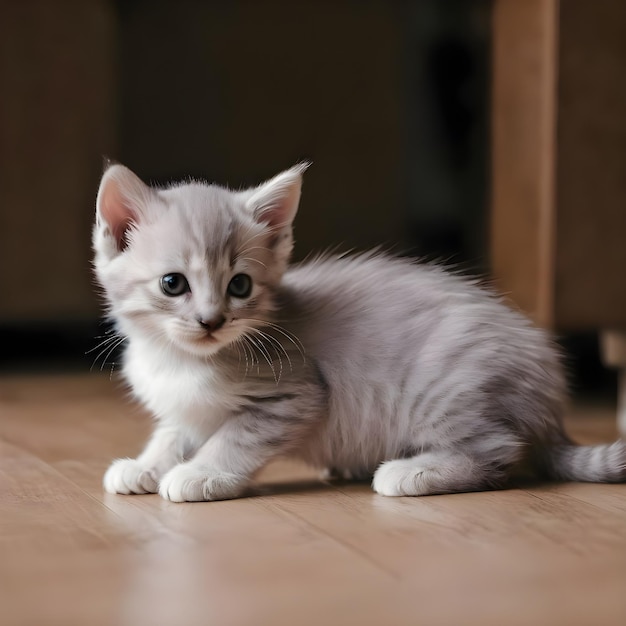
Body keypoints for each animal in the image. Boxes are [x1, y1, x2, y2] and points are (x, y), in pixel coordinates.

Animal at [92, 163, 624, 500]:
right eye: (173, 284)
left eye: (239, 285)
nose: (211, 320)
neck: (178, 359)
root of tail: (549, 405)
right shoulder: (187, 410)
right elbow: (171, 436)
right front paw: (145, 465)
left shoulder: (294, 394)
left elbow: (234, 439)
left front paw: (201, 473)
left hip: (447, 388)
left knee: (498, 449)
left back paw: (414, 471)